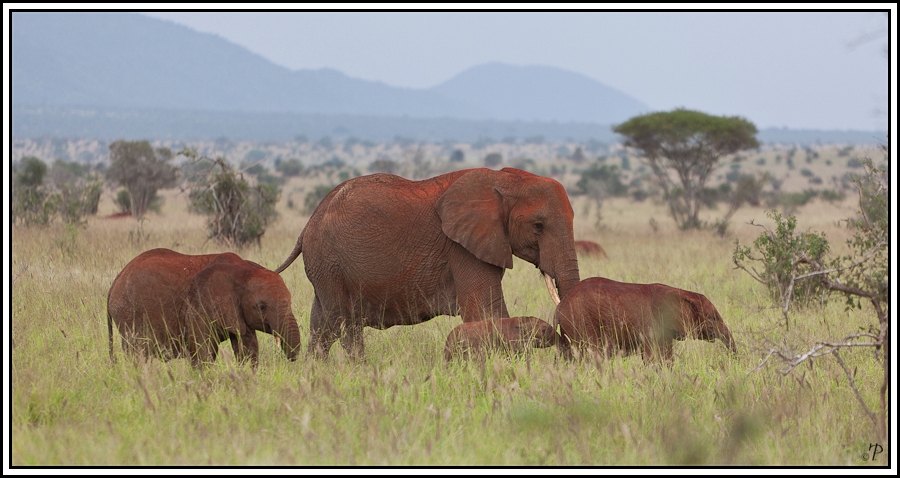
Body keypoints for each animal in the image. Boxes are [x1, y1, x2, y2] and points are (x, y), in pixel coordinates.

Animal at [107, 248, 304, 368]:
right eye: (261, 307)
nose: (292, 359)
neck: (244, 270)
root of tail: (116, 279)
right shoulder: (198, 306)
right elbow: (203, 353)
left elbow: (248, 349)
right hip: (128, 314)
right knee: (137, 354)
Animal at [274, 167, 580, 358]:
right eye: (538, 226)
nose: (568, 356)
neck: (506, 180)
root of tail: (308, 224)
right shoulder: (461, 247)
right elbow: (485, 309)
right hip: (330, 261)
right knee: (342, 322)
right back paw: (358, 370)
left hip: (326, 266)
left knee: (322, 324)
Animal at [556, 276, 740, 362]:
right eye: (713, 318)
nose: (735, 360)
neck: (683, 293)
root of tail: (559, 307)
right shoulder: (650, 327)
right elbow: (651, 358)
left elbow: (667, 357)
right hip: (580, 322)